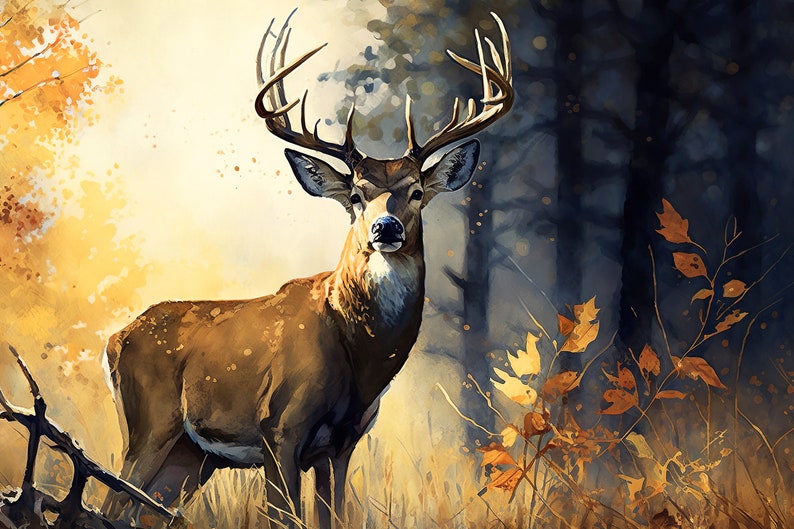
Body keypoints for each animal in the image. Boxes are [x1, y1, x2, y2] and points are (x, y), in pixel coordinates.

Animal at [101, 11, 512, 529]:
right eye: (355, 194)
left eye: (417, 191)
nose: (385, 227)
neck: (361, 360)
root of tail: (114, 339)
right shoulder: (280, 427)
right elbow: (285, 515)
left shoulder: (342, 445)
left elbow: (333, 514)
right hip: (149, 425)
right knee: (107, 500)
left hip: (190, 457)